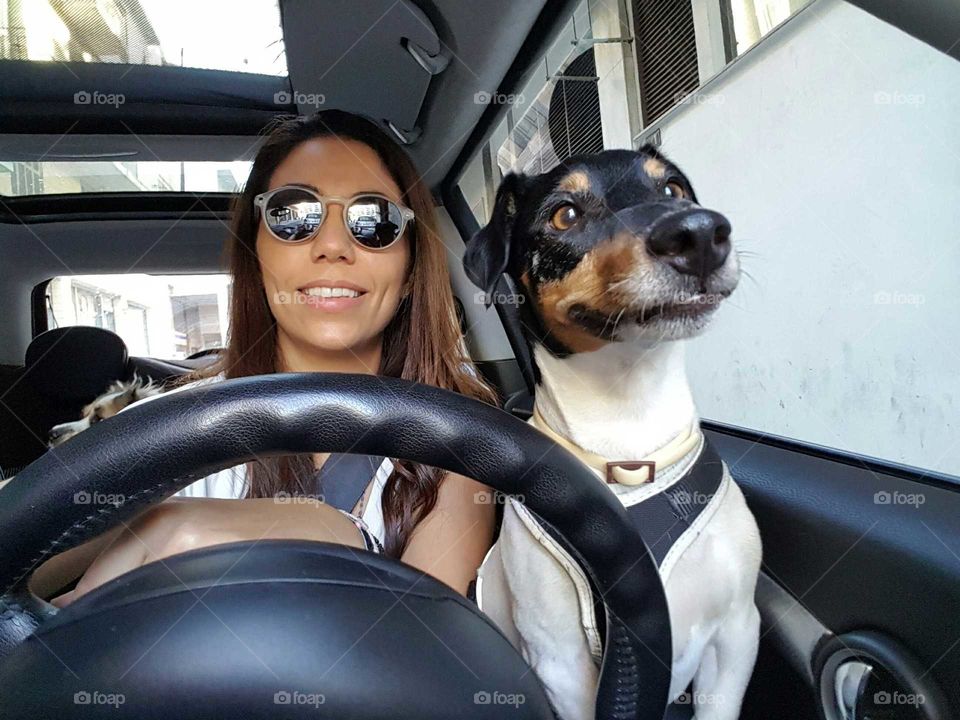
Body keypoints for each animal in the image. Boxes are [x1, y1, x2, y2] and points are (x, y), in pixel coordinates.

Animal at [464, 148, 764, 720]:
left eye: (672, 190)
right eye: (564, 215)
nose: (699, 233)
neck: (628, 432)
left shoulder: (737, 632)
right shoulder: (563, 664)